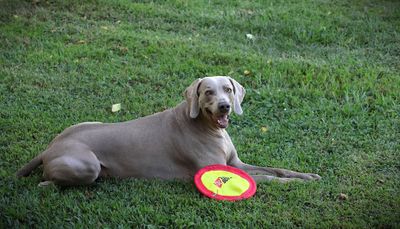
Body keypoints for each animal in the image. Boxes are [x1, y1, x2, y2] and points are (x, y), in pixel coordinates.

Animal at [17, 76, 320, 187]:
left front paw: (307, 176)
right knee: (53, 180)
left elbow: (276, 169)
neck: (207, 127)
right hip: (87, 165)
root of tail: (50, 147)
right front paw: (298, 184)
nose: (224, 106)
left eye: (228, 89)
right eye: (208, 92)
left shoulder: (236, 163)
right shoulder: (219, 169)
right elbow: (268, 178)